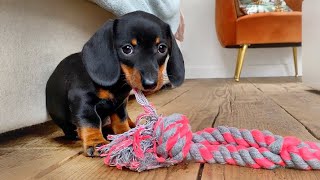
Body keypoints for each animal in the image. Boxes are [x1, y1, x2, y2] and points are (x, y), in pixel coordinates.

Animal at [45, 10, 185, 156]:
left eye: (162, 48)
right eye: (127, 49)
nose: (150, 83)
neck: (117, 84)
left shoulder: (120, 102)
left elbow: (120, 119)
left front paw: (124, 134)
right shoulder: (82, 99)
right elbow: (90, 121)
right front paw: (96, 141)